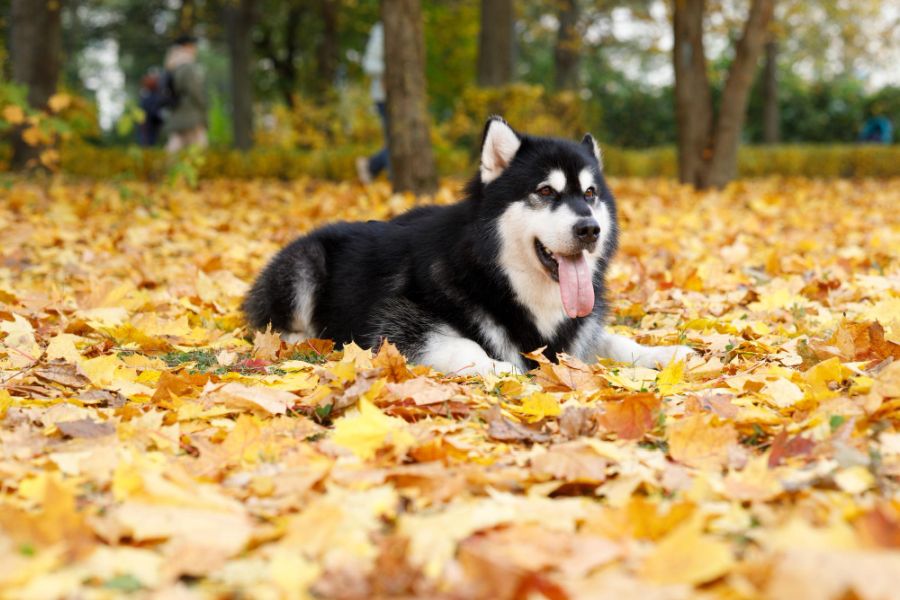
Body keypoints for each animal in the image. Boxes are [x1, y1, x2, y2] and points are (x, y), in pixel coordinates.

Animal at [246, 117, 696, 376]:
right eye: (545, 191)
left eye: (589, 193)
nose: (589, 229)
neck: (499, 277)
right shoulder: (397, 323)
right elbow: (466, 346)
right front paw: (500, 369)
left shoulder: (573, 337)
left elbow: (615, 340)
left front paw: (663, 352)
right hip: (305, 263)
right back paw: (299, 340)